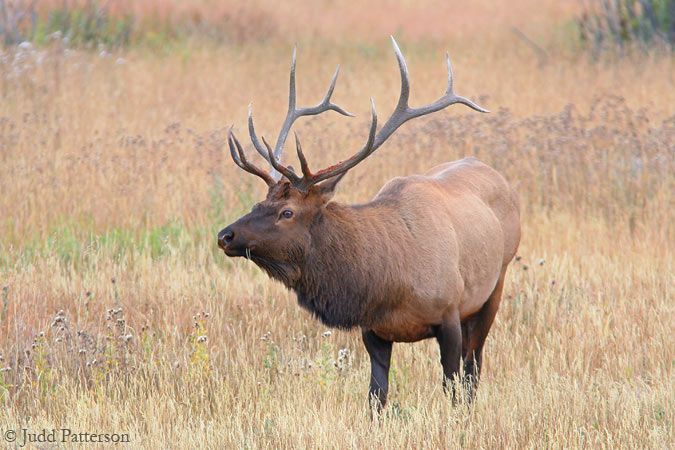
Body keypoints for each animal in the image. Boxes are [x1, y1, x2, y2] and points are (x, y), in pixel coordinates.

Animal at [219, 37, 520, 412]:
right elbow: (376, 397)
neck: (387, 282)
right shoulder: (373, 330)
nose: (225, 235)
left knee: (474, 366)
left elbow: (452, 385)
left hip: (494, 286)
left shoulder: (449, 311)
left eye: (287, 212)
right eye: (260, 202)